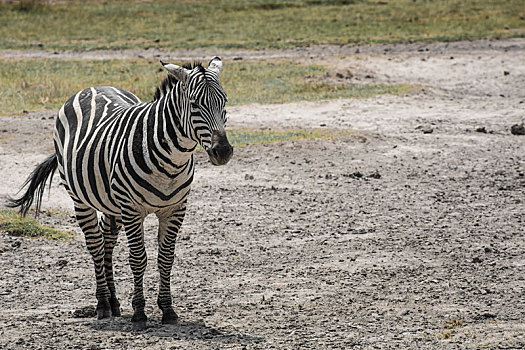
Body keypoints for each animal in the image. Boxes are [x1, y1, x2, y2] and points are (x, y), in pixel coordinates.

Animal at [7, 56, 232, 330]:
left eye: (224, 101)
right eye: (194, 104)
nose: (223, 152)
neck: (171, 161)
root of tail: (92, 87)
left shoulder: (175, 209)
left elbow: (166, 258)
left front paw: (168, 310)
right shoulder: (132, 209)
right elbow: (138, 258)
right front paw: (139, 313)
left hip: (111, 203)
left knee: (107, 243)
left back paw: (114, 302)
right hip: (81, 199)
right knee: (95, 244)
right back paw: (103, 304)